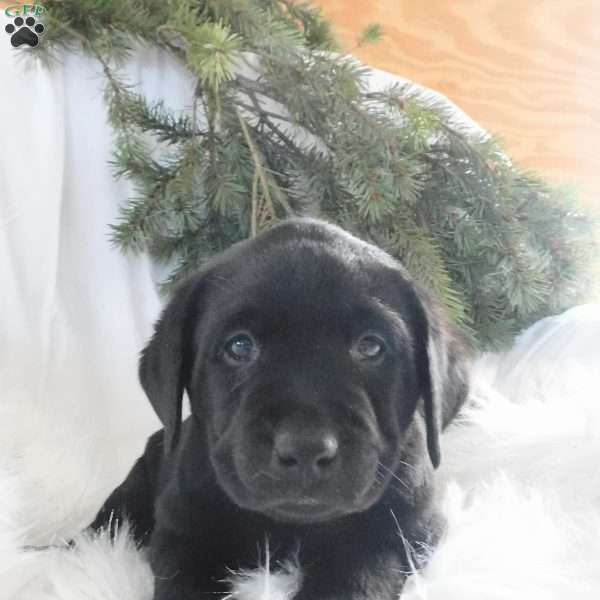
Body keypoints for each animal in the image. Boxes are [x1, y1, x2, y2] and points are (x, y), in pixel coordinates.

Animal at [91, 219, 472, 600]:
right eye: (240, 346)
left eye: (370, 347)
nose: (306, 448)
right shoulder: (183, 532)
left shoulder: (398, 533)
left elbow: (355, 575)